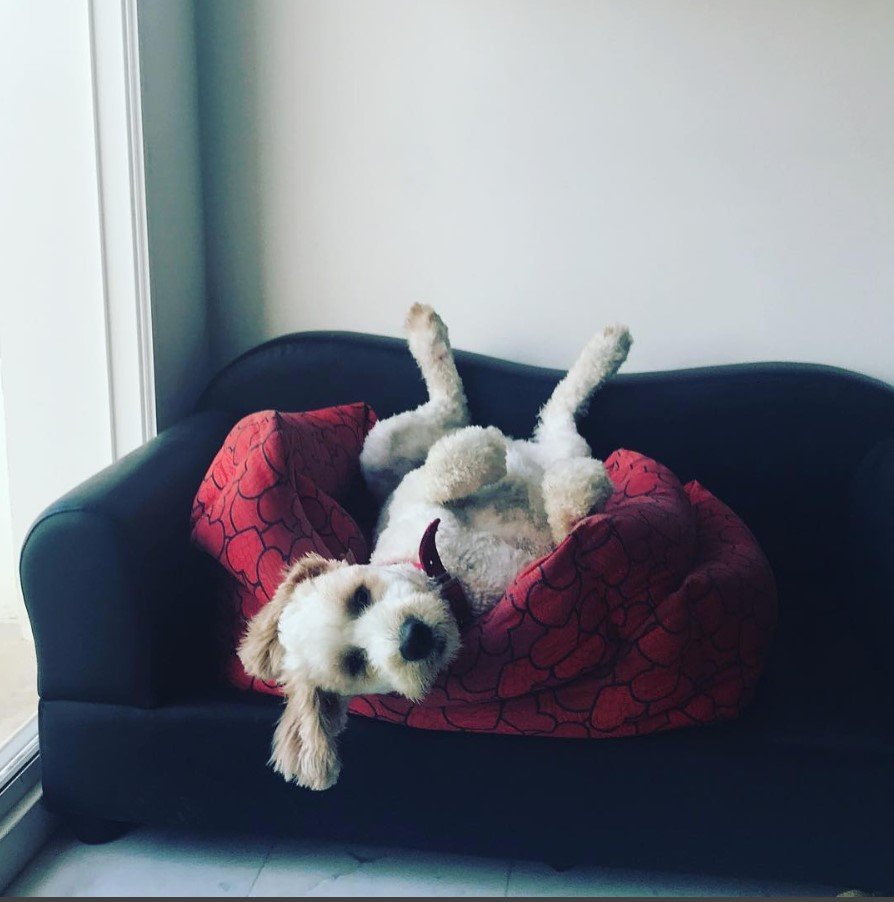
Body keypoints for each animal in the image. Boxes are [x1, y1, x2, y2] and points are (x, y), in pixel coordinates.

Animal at [236, 308, 632, 792]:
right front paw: (578, 493)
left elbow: (446, 469)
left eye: (359, 596)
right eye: (355, 664)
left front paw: (485, 452)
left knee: (464, 411)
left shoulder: (423, 496)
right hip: (553, 443)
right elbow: (565, 521)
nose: (413, 639)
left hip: (378, 449)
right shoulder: (540, 557)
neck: (453, 576)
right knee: (552, 415)